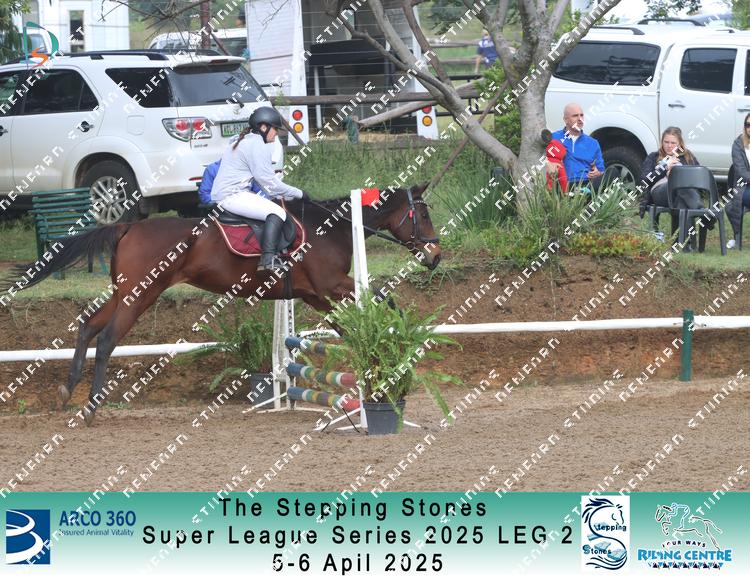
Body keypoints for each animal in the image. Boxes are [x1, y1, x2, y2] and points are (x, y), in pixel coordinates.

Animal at [3, 184, 441, 426]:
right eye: (423, 215)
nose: (436, 256)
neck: (330, 228)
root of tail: (128, 226)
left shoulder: (316, 295)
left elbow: (347, 325)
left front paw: (383, 362)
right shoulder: (332, 285)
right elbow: (384, 299)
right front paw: (396, 346)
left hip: (123, 292)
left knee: (88, 324)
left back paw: (68, 391)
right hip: (141, 294)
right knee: (108, 337)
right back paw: (92, 406)